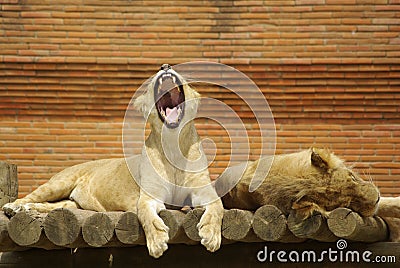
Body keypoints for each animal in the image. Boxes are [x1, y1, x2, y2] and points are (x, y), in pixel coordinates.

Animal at [1, 63, 223, 258]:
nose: (165, 66)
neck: (173, 145)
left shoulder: (203, 191)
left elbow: (218, 206)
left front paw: (211, 235)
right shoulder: (148, 197)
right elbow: (147, 215)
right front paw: (157, 241)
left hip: (70, 204)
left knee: (52, 205)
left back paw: (28, 209)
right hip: (58, 183)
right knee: (31, 196)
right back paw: (14, 207)